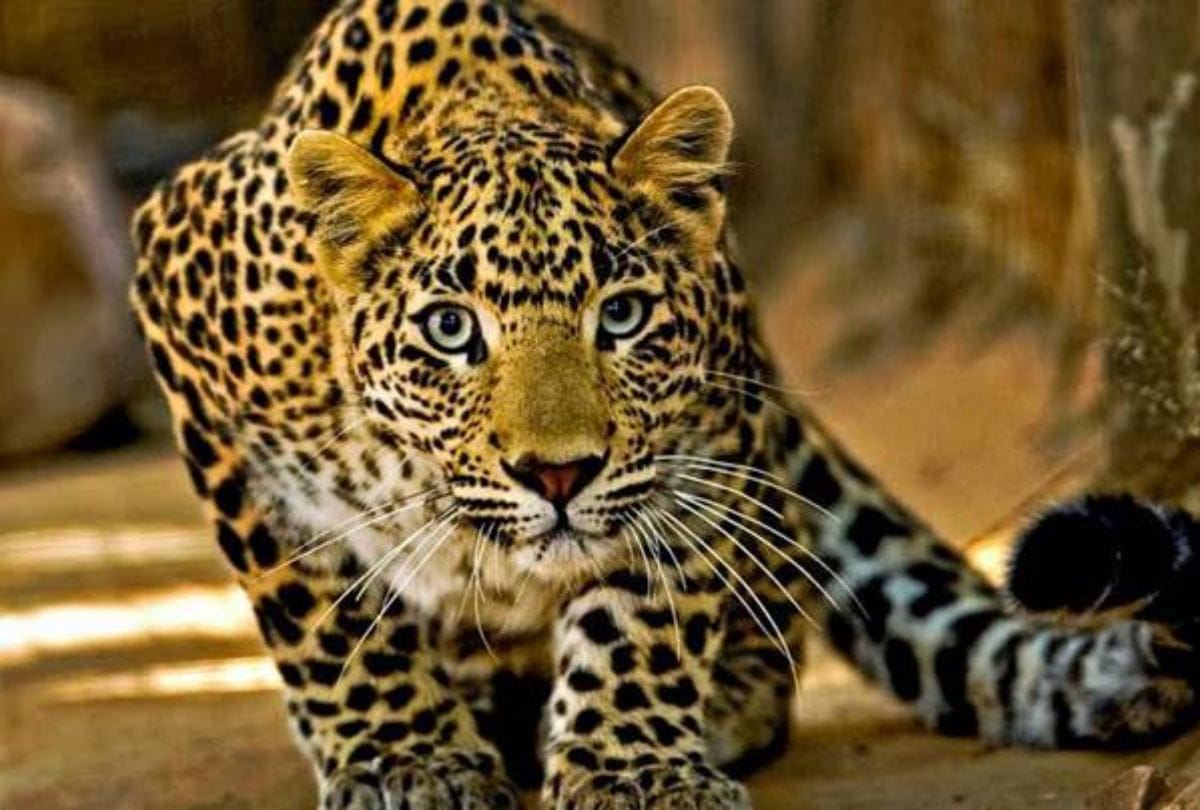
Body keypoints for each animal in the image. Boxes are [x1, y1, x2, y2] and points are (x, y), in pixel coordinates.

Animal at [129, 1, 1200, 807]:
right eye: (450, 329)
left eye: (623, 314)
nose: (558, 474)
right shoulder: (186, 322)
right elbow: (322, 612)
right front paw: (408, 760)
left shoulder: (702, 437)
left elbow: (644, 610)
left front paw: (631, 768)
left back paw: (714, 702)